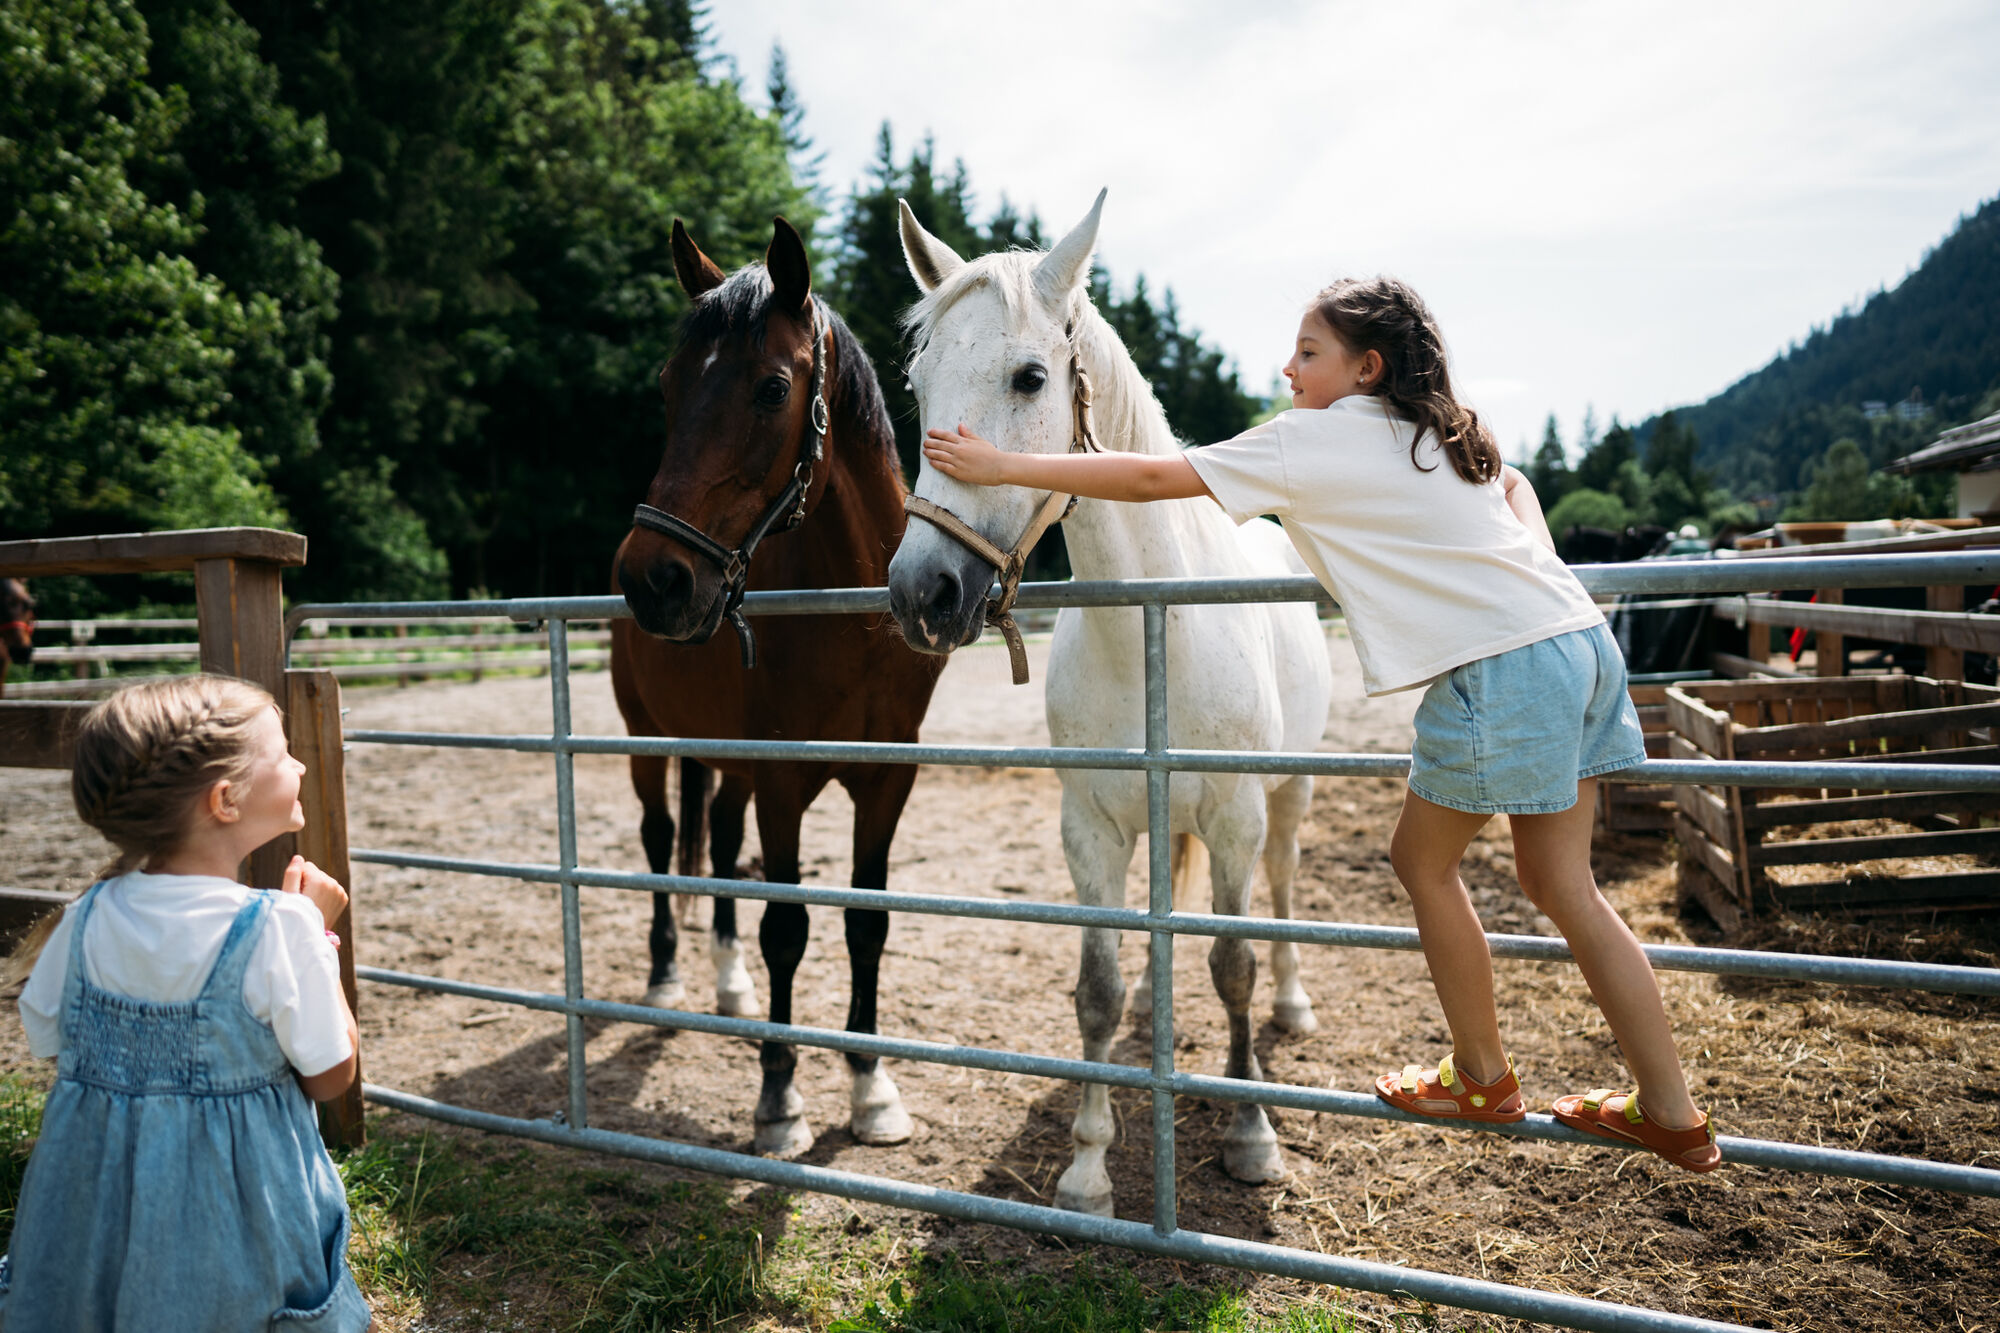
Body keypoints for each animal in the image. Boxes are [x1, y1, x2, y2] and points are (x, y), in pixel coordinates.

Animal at [610, 217, 947, 1156]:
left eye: (771, 388)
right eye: (668, 387)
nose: (653, 580)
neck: (854, 616)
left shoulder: (886, 781)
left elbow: (866, 922)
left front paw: (871, 1089)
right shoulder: (784, 779)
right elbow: (787, 926)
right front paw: (780, 1098)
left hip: (728, 761)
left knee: (720, 843)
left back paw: (730, 986)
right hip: (648, 739)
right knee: (662, 839)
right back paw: (667, 978)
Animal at [885, 192, 1335, 1217]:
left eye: (1029, 376)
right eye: (919, 384)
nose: (923, 591)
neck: (1151, 634)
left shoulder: (1235, 815)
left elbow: (1235, 965)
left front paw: (1252, 1135)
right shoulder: (1088, 823)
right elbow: (1097, 987)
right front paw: (1088, 1166)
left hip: (1287, 798)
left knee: (1282, 895)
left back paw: (1295, 1003)